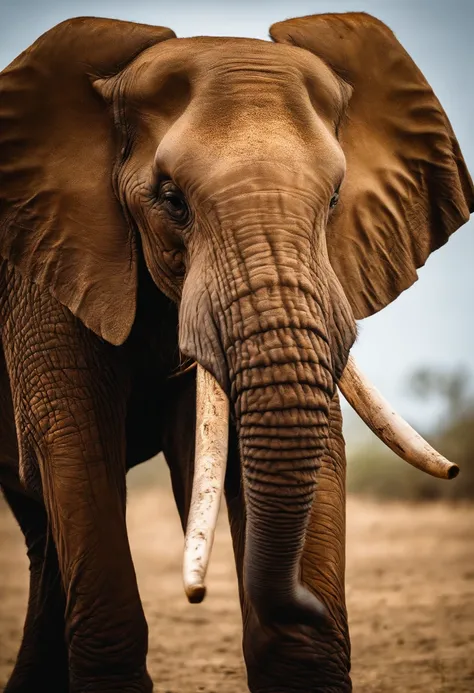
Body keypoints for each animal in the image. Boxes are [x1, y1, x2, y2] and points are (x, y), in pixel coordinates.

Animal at [0, 10, 472, 692]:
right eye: (171, 199)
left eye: (335, 199)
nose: (309, 601)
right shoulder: (44, 259)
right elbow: (74, 442)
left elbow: (321, 443)